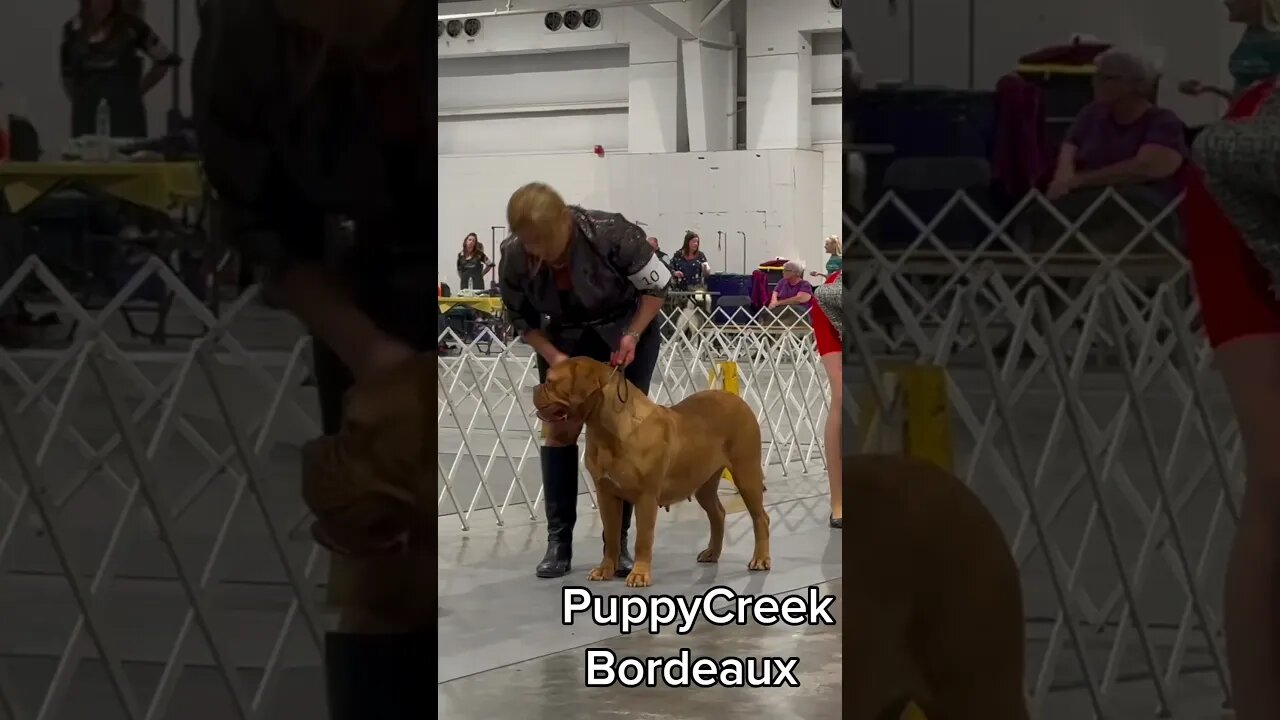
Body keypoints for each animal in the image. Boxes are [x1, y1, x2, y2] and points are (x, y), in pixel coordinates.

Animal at [532, 356, 768, 586]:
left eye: (550, 382)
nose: (536, 387)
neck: (606, 430)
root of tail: (735, 399)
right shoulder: (606, 494)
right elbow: (611, 535)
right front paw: (604, 570)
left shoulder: (646, 497)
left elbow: (643, 539)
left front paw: (639, 574)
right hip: (704, 483)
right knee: (718, 513)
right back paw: (712, 553)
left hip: (746, 473)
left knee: (760, 518)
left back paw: (761, 559)